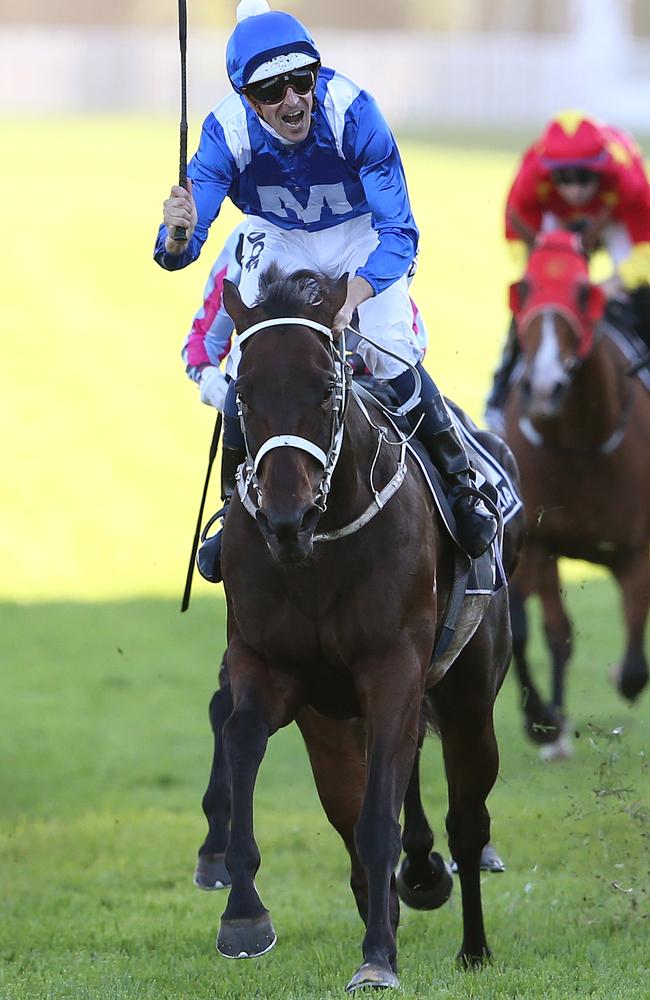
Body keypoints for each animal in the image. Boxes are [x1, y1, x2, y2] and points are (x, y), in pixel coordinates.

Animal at [208, 268, 516, 992]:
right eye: (243, 393)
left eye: (326, 387)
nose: (286, 518)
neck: (320, 550)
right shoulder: (269, 666)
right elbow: (243, 743)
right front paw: (244, 916)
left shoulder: (393, 668)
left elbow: (382, 819)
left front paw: (377, 958)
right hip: (336, 723)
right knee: (356, 814)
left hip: (468, 698)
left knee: (466, 822)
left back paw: (472, 945)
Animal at [504, 229, 644, 756]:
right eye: (524, 288)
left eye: (584, 293)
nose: (545, 387)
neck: (581, 444)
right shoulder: (541, 543)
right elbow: (554, 635)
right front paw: (547, 724)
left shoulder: (637, 549)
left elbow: (633, 664)